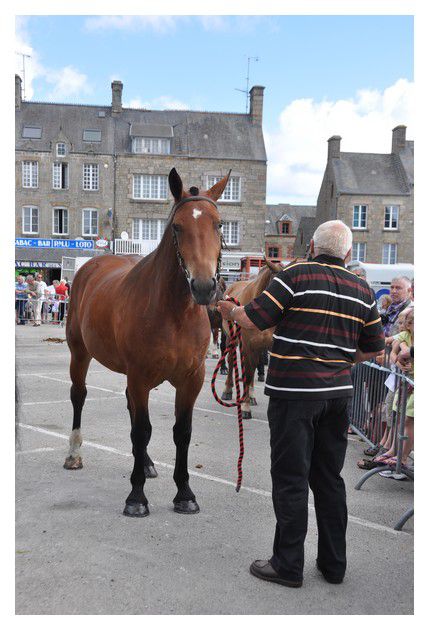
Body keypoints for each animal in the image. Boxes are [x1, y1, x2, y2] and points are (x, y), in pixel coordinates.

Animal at [64, 168, 231, 520]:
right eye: (177, 226)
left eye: (219, 224)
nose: (204, 287)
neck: (174, 313)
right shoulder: (139, 375)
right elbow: (142, 430)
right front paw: (136, 497)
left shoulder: (191, 378)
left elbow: (181, 432)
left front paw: (184, 494)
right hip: (79, 353)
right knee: (79, 396)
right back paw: (73, 453)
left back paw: (147, 463)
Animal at [221, 260, 284, 420]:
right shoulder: (248, 346)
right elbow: (248, 373)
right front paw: (245, 407)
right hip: (231, 339)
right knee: (231, 361)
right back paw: (227, 390)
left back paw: (251, 395)